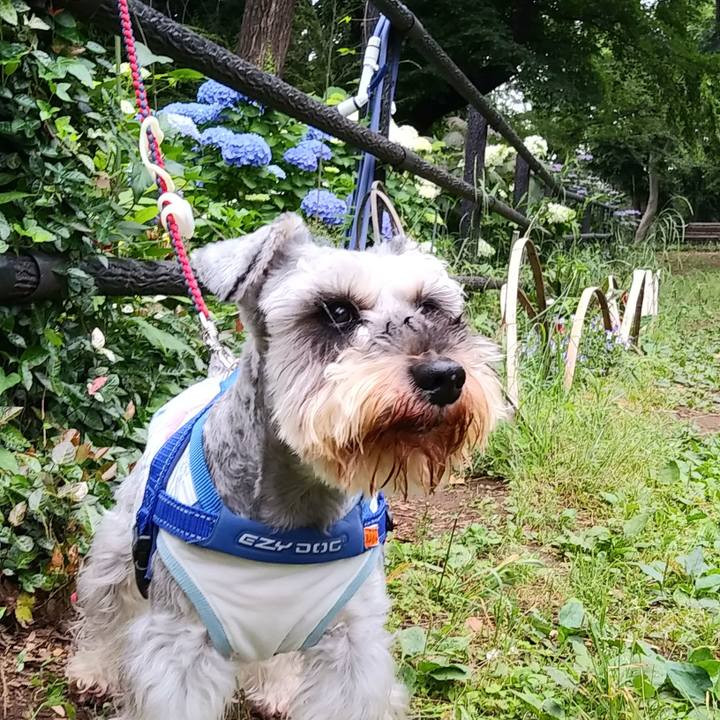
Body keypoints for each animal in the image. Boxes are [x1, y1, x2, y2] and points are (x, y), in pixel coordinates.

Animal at [68, 213, 506, 720]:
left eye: (431, 306)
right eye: (336, 311)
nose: (445, 376)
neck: (296, 512)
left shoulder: (352, 647)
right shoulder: (180, 649)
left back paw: (275, 690)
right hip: (120, 545)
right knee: (105, 605)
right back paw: (91, 669)